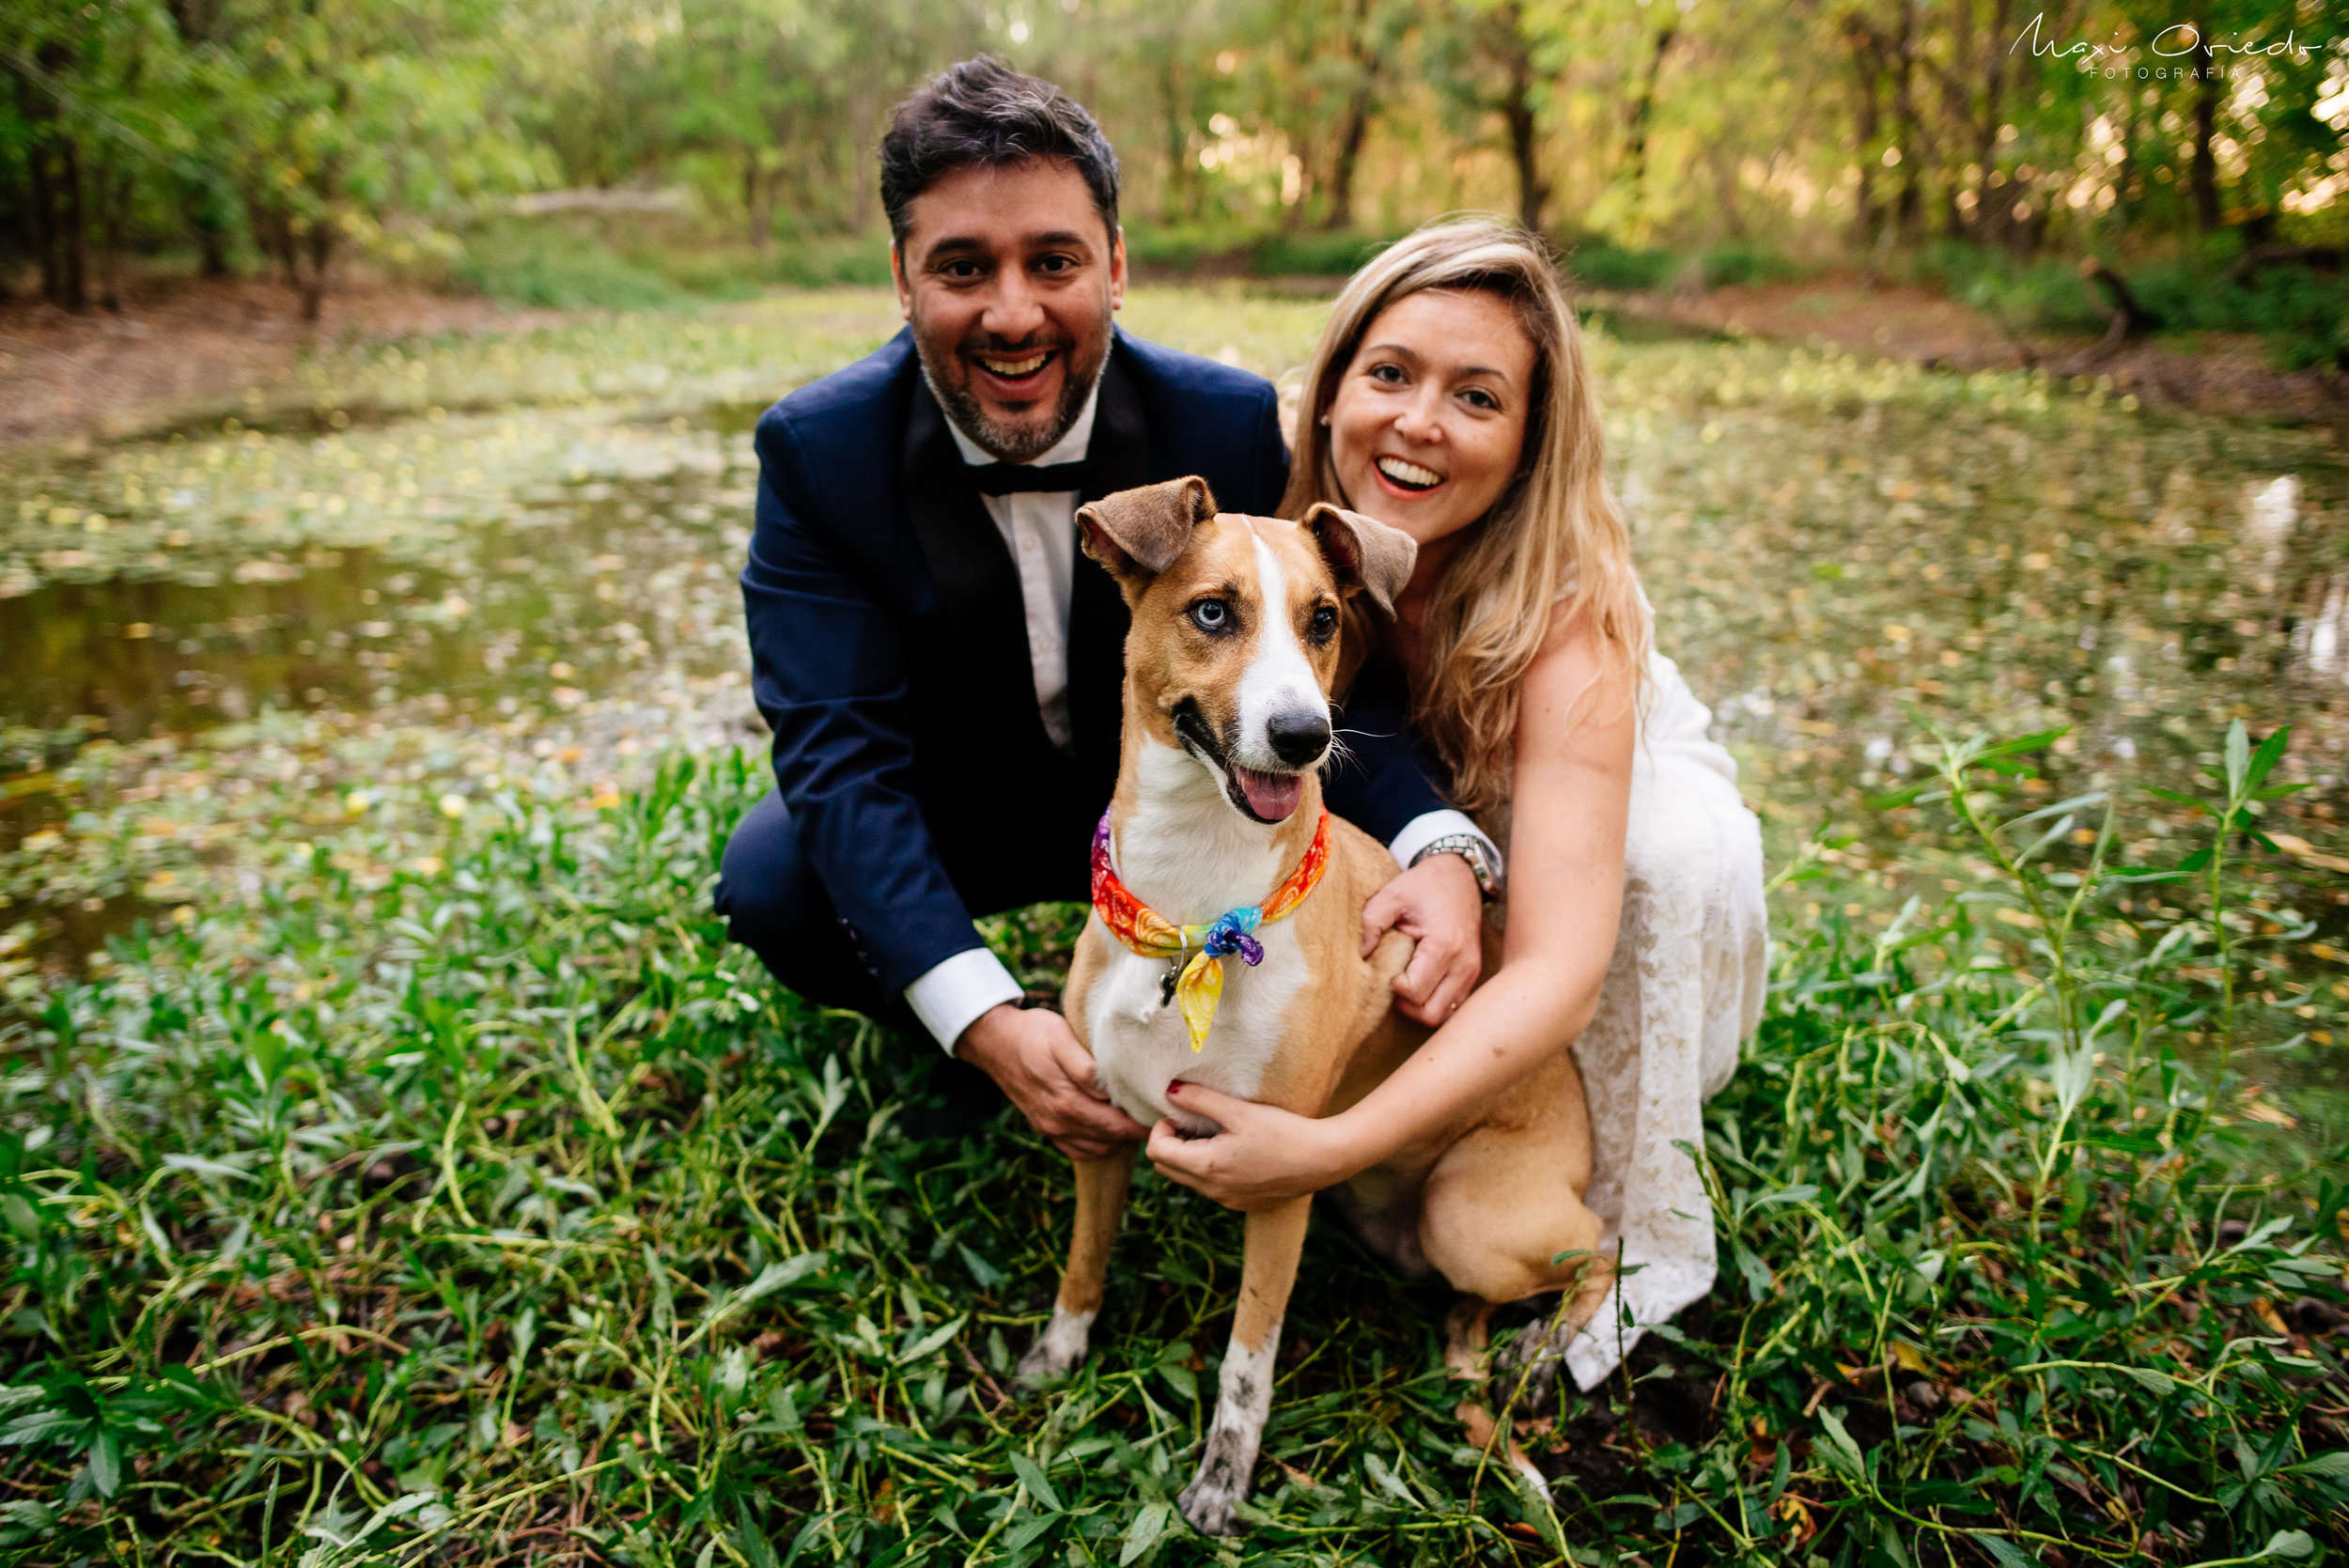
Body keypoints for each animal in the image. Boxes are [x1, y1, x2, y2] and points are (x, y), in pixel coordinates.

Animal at [1015, 474, 1616, 1530]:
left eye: (1324, 619)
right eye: (1213, 610)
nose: (1306, 737)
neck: (1193, 913)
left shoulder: (1276, 1180)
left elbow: (1246, 1363)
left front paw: (1222, 1483)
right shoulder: (1097, 1131)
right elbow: (1082, 1263)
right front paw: (1058, 1355)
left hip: (1469, 1212)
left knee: (1606, 1248)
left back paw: (1545, 1350)